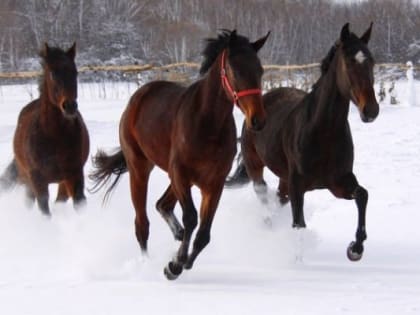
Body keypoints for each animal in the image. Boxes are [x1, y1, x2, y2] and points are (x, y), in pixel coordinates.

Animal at [0, 43, 89, 217]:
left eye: (75, 72)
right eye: (53, 74)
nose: (69, 106)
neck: (54, 136)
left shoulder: (74, 174)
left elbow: (79, 202)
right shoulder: (37, 180)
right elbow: (44, 209)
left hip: (62, 181)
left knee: (60, 199)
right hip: (27, 179)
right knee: (29, 201)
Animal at [90, 29, 270, 280]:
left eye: (260, 70)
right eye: (235, 70)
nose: (258, 120)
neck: (207, 124)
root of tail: (137, 98)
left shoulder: (213, 182)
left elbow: (204, 233)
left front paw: (181, 262)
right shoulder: (180, 174)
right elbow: (192, 217)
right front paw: (174, 265)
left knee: (162, 205)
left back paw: (176, 235)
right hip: (140, 168)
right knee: (142, 223)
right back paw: (146, 263)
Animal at [226, 22, 380, 262]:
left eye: (371, 61)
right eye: (348, 62)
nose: (371, 111)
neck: (323, 134)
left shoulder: (338, 183)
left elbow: (362, 195)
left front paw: (355, 249)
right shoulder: (298, 185)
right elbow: (299, 223)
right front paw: (297, 261)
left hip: (284, 179)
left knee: (279, 199)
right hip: (256, 167)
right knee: (263, 197)